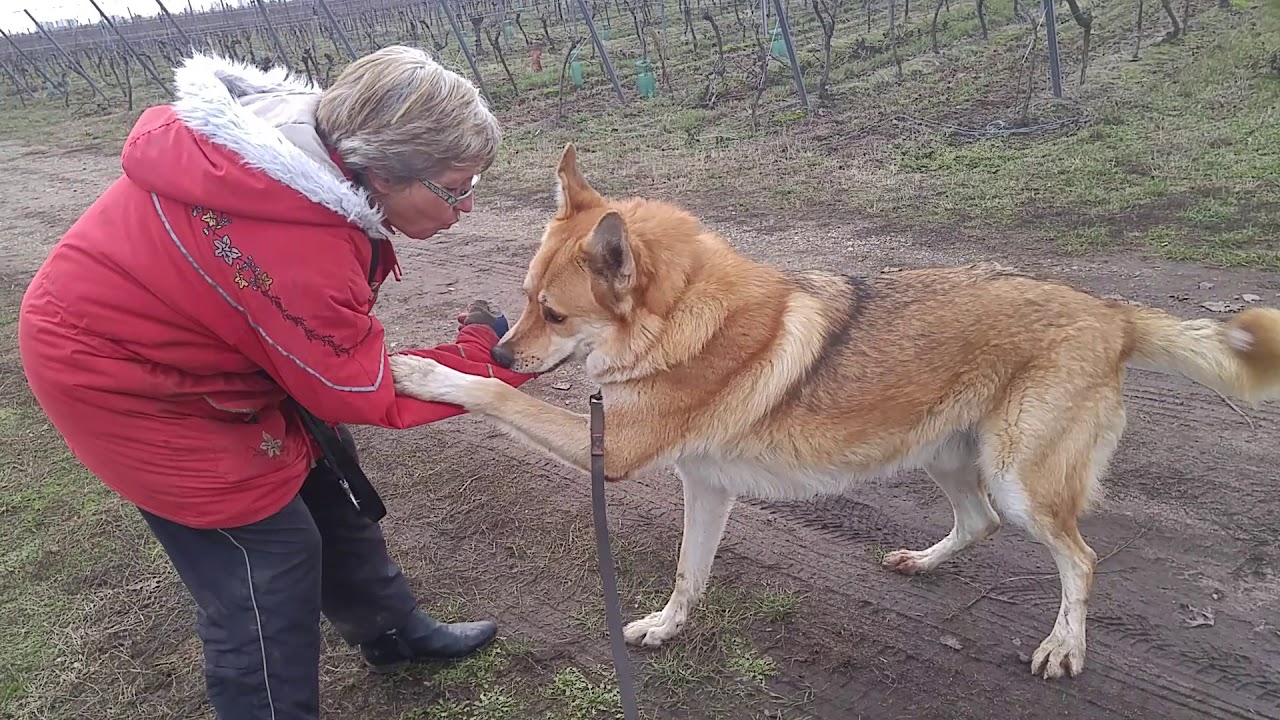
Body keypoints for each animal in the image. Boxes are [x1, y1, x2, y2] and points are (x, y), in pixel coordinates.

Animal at [389, 143, 1280, 680]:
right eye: (524, 302)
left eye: (555, 314)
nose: (506, 352)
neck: (680, 320)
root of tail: (1111, 312)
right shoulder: (704, 489)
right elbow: (688, 574)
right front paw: (666, 630)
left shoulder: (611, 453)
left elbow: (495, 400)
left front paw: (433, 373)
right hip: (948, 457)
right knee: (980, 523)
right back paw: (924, 562)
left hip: (1020, 479)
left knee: (1080, 559)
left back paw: (1064, 645)